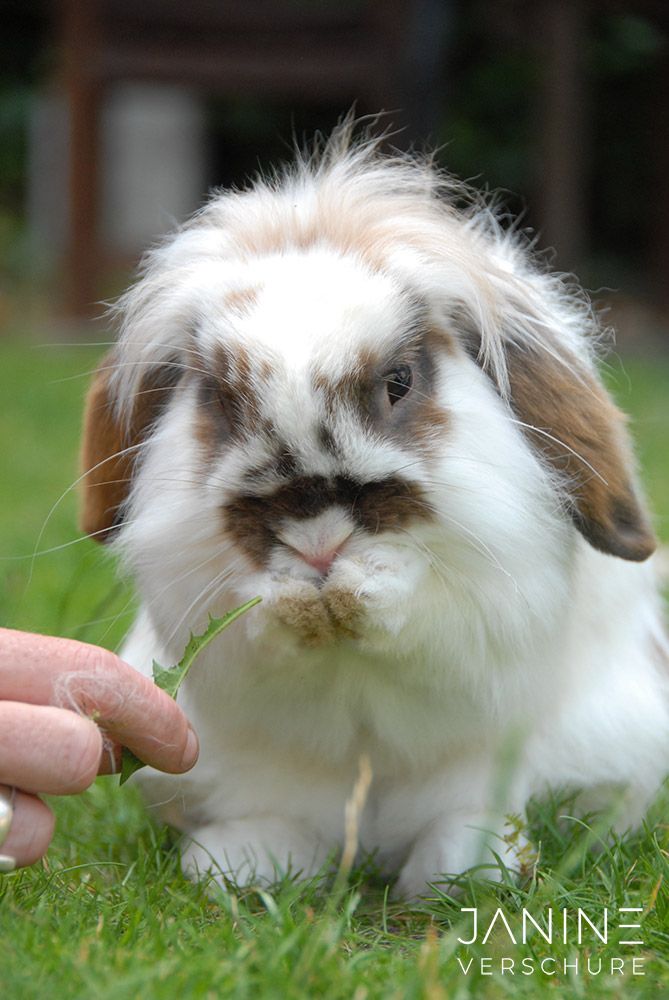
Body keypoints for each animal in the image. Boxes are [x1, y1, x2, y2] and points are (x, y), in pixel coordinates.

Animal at [79, 125, 668, 900]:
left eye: (400, 381)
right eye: (220, 400)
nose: (318, 543)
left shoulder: (487, 603)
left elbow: (431, 620)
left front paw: (358, 588)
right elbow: (251, 634)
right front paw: (296, 598)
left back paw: (469, 868)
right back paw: (235, 865)